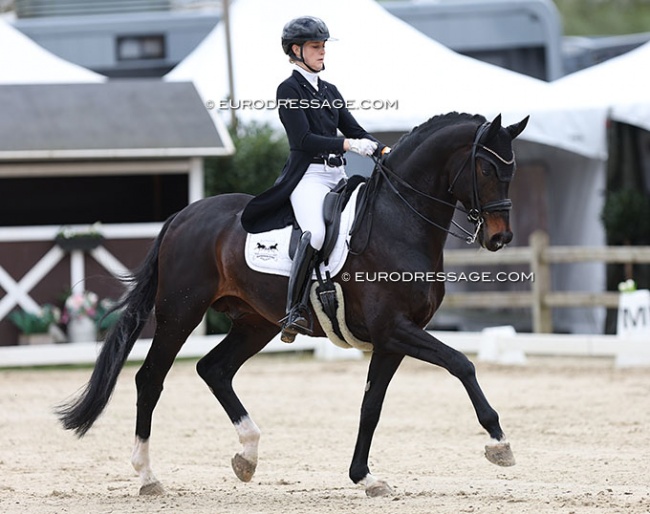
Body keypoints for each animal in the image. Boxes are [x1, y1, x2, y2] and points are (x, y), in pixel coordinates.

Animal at [57, 111, 528, 496]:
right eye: (486, 167)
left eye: (512, 169)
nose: (500, 237)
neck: (399, 222)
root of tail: (182, 216)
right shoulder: (395, 329)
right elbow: (462, 364)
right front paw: (499, 442)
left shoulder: (391, 339)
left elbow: (371, 406)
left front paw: (364, 477)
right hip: (180, 312)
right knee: (151, 379)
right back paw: (148, 476)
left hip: (255, 322)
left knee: (214, 369)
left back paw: (247, 456)